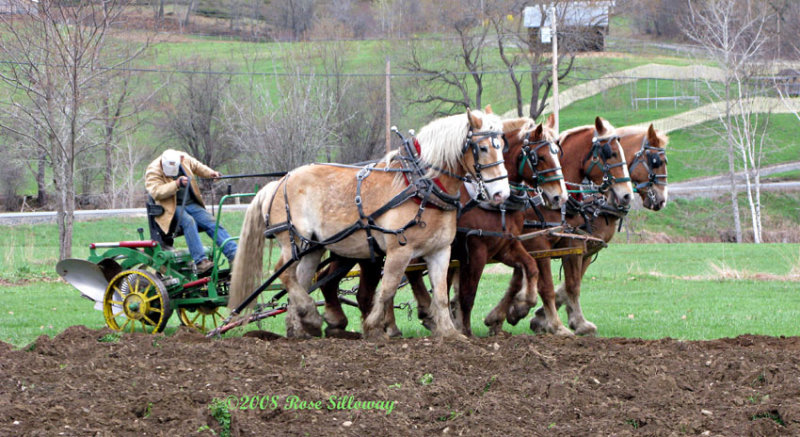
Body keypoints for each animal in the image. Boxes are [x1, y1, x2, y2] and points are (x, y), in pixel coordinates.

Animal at [228, 107, 510, 338]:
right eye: (483, 148)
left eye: (502, 146)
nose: (501, 194)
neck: (422, 186)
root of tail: (280, 181)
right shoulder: (400, 250)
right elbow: (387, 290)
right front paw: (375, 328)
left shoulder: (440, 251)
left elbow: (440, 295)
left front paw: (451, 334)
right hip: (293, 240)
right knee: (285, 273)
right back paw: (311, 317)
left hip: (313, 247)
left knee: (301, 280)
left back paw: (299, 327)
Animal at [316, 113, 564, 338]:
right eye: (539, 157)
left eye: (557, 153)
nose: (559, 197)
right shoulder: (476, 251)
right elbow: (467, 294)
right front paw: (465, 330)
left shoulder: (503, 246)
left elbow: (530, 267)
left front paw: (520, 307)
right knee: (349, 286)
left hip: (351, 250)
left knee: (332, 282)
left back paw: (343, 323)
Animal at [524, 124, 668, 336]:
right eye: (656, 161)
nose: (662, 200)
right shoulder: (569, 246)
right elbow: (570, 284)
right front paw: (569, 322)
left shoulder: (587, 249)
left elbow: (570, 284)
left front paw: (545, 317)